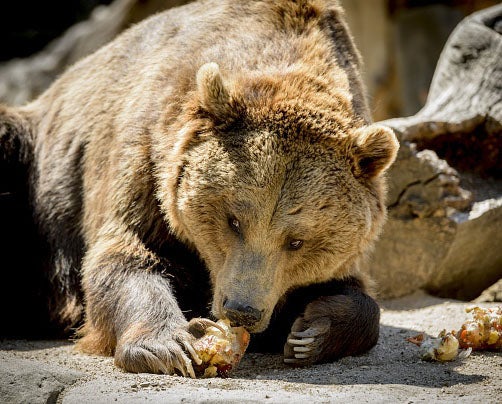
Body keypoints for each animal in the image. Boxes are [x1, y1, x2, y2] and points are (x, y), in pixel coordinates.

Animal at [0, 0, 400, 378]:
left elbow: (354, 292)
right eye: (234, 221)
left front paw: (311, 331)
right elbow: (125, 256)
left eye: (297, 241)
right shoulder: (145, 161)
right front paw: (169, 344)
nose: (242, 311)